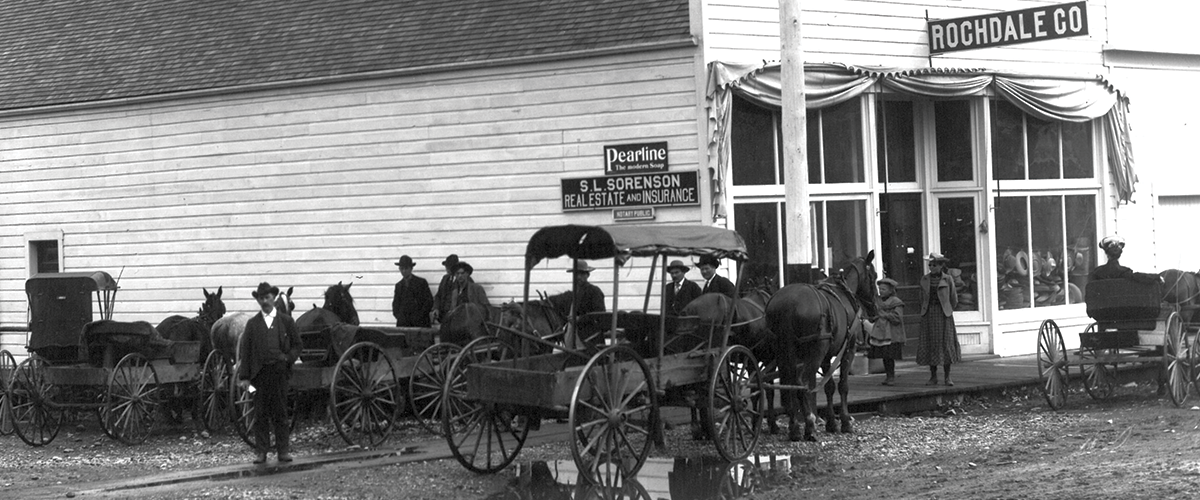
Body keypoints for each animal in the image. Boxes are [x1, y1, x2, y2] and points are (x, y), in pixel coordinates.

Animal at [763, 252, 878, 441]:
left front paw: (831, 422)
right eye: (874, 276)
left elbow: (829, 387)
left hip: (784, 352)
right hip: (813, 353)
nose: (875, 309)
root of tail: (787, 304)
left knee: (789, 386)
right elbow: (843, 385)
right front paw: (845, 422)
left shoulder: (827, 355)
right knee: (802, 384)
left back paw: (794, 427)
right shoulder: (848, 350)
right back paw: (809, 425)